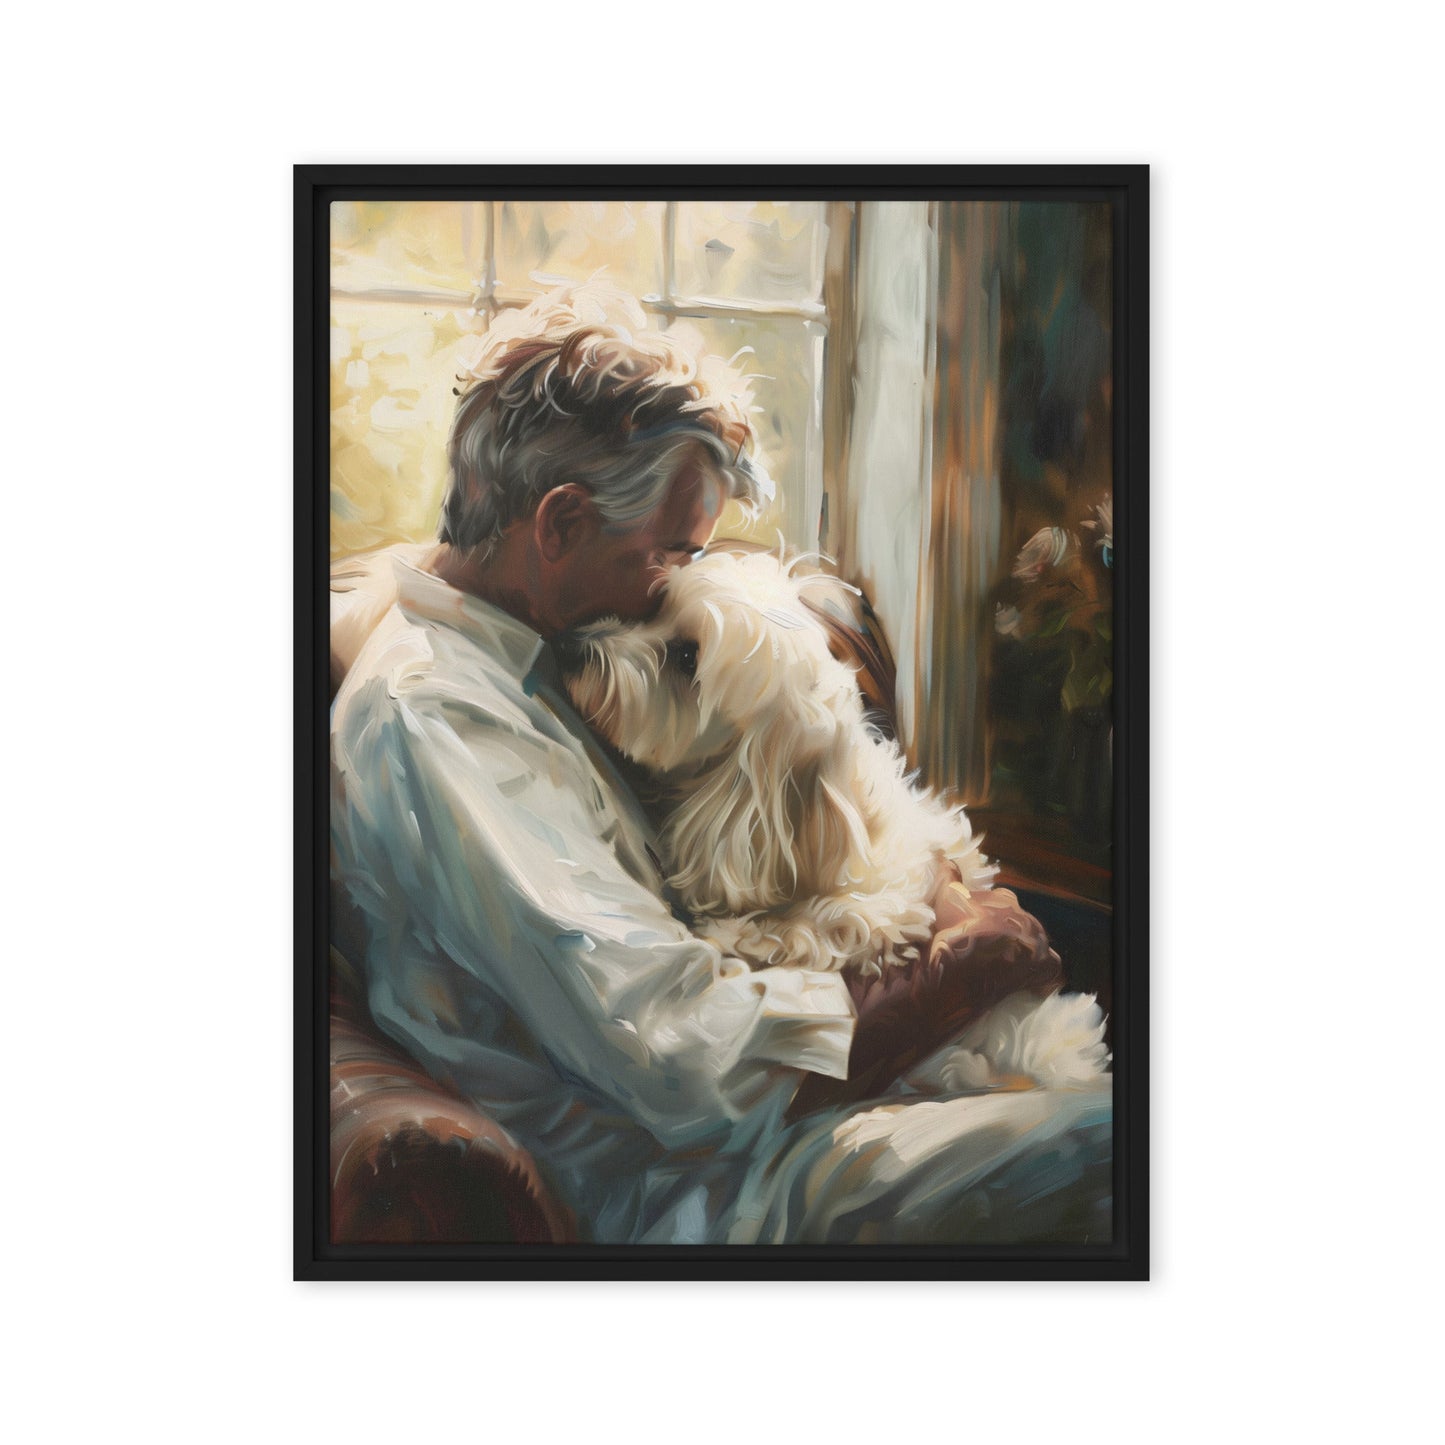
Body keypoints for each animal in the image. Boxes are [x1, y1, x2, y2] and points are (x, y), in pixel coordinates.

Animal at [557, 546, 999, 976]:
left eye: (686, 657)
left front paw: (740, 933)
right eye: (656, 611)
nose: (572, 645)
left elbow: (831, 922)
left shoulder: (890, 899)